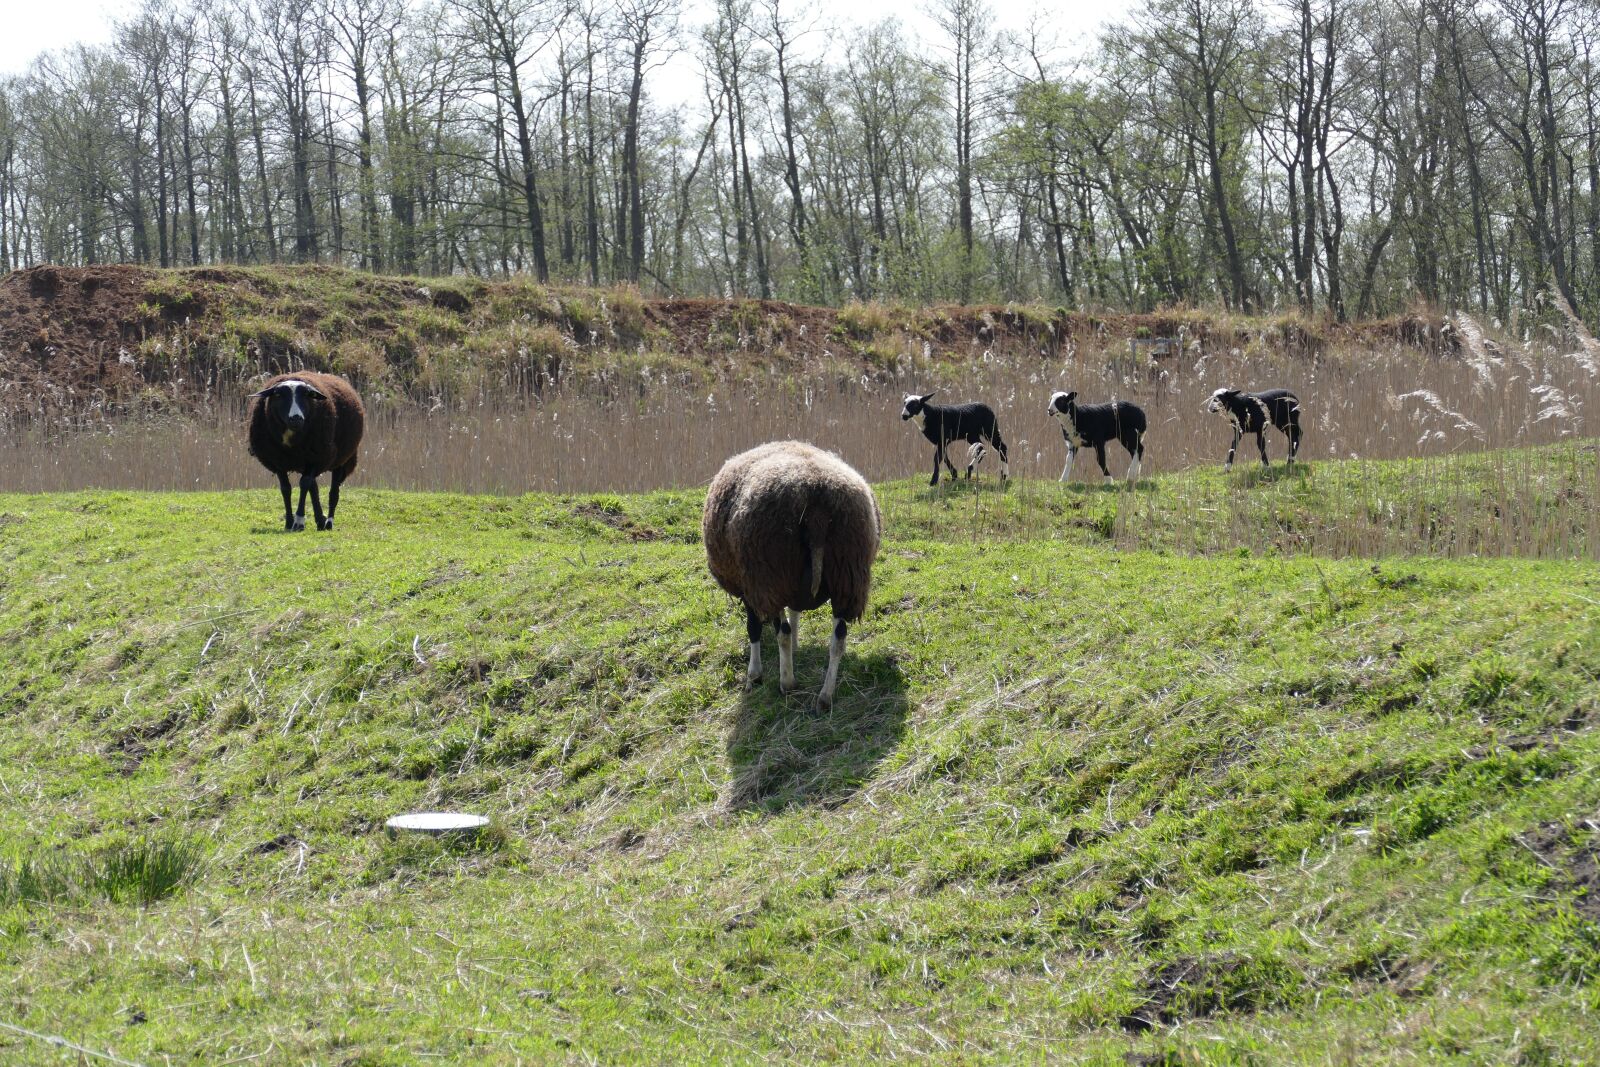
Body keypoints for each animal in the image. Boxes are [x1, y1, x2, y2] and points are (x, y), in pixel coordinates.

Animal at [247, 371, 365, 531]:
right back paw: (320, 520)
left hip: (340, 459)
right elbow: (286, 489)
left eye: (307, 394)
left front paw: (299, 521)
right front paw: (289, 522)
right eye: (278, 394)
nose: (296, 418)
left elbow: (304, 484)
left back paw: (328, 522)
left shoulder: (315, 457)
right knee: (313, 487)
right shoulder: (278, 461)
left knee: (332, 492)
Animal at [703, 441, 881, 710]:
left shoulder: (750, 588)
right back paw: (825, 697)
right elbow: (794, 611)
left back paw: (787, 683)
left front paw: (754, 675)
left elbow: (753, 628)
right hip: (848, 577)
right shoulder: (793, 586)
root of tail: (817, 509)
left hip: (770, 577)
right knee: (838, 639)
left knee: (782, 634)